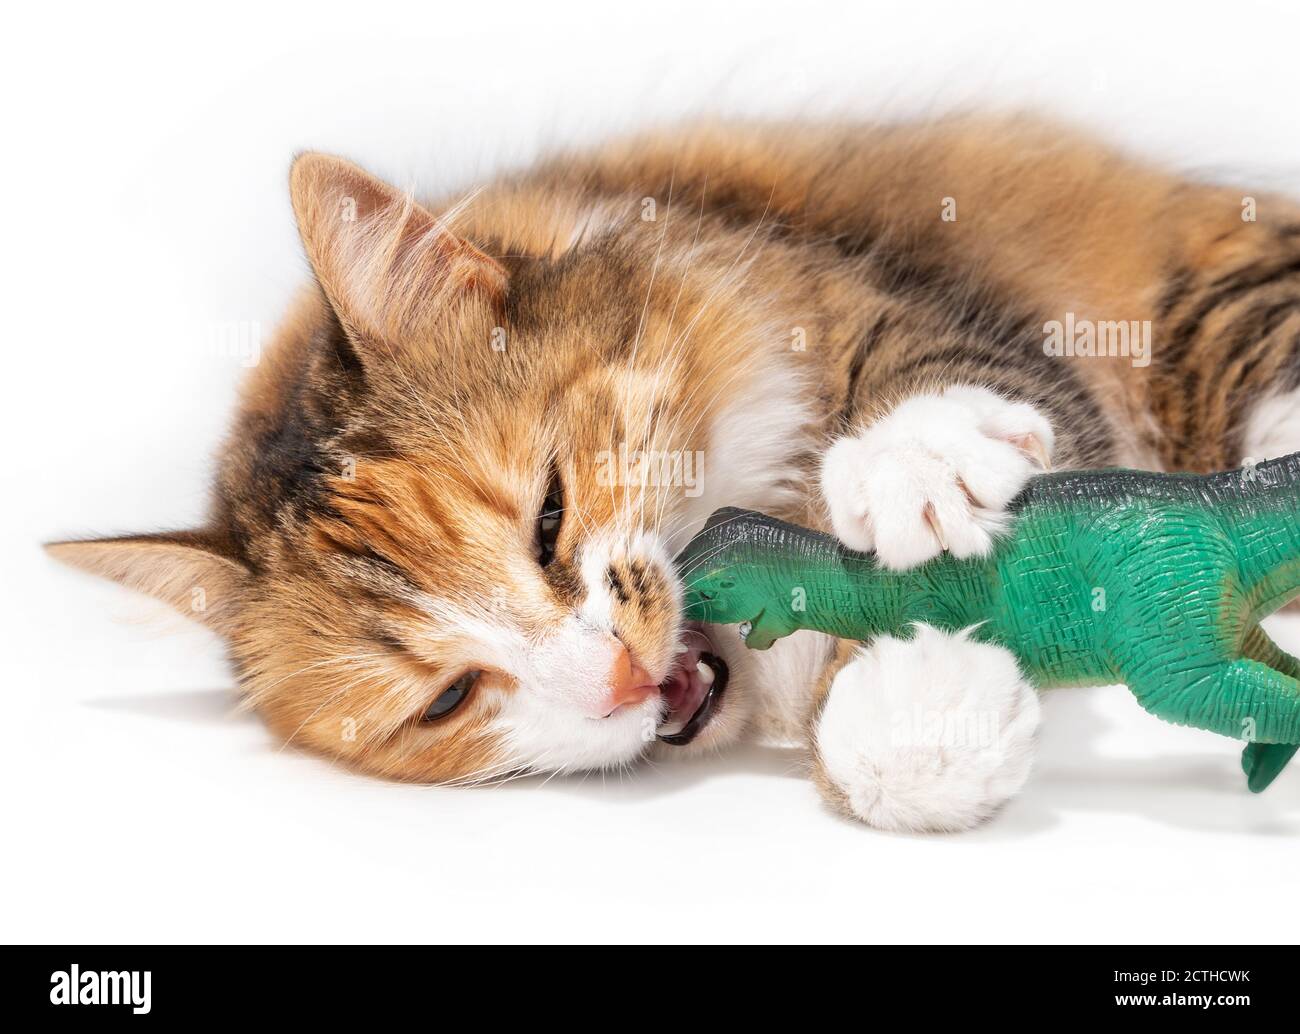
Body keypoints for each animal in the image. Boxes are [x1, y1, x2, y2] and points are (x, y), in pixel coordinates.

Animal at [50, 115, 1300, 832]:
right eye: (444, 698)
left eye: (550, 518)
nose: (616, 675)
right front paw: (918, 711)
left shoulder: (928, 314)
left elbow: (931, 376)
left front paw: (917, 467)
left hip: (1220, 294)